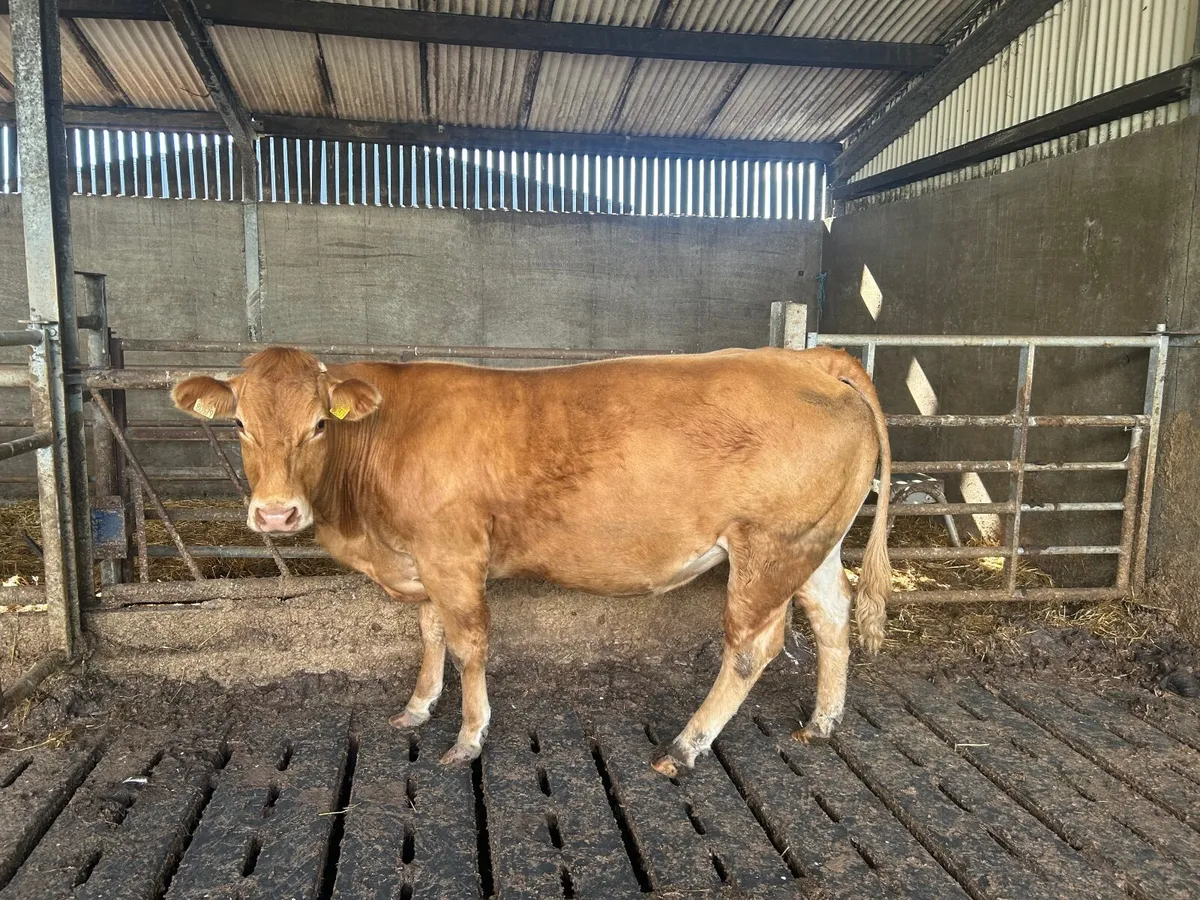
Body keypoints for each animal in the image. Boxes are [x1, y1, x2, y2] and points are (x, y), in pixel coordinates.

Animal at [172, 345, 891, 775]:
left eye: (320, 424)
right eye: (239, 424)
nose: (275, 515)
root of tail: (804, 358)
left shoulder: (453, 555)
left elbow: (468, 644)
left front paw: (468, 737)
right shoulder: (420, 561)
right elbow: (429, 633)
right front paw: (417, 707)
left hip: (769, 545)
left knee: (751, 647)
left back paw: (685, 747)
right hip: (813, 543)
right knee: (832, 615)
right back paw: (821, 723)